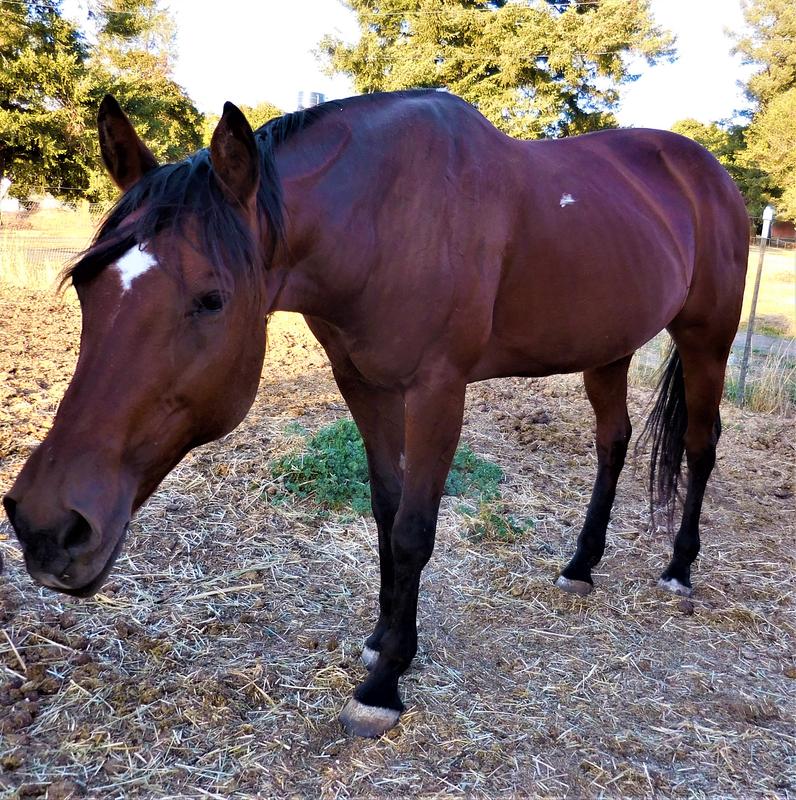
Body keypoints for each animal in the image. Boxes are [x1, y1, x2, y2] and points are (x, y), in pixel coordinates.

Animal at [3, 90, 748, 738]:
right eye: (86, 283)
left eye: (212, 300)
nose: (46, 524)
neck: (388, 217)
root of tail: (707, 170)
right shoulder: (363, 385)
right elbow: (387, 514)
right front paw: (387, 639)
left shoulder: (439, 391)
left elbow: (415, 530)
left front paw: (383, 686)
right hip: (609, 347)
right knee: (613, 442)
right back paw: (581, 565)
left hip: (707, 339)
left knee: (701, 445)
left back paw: (680, 571)